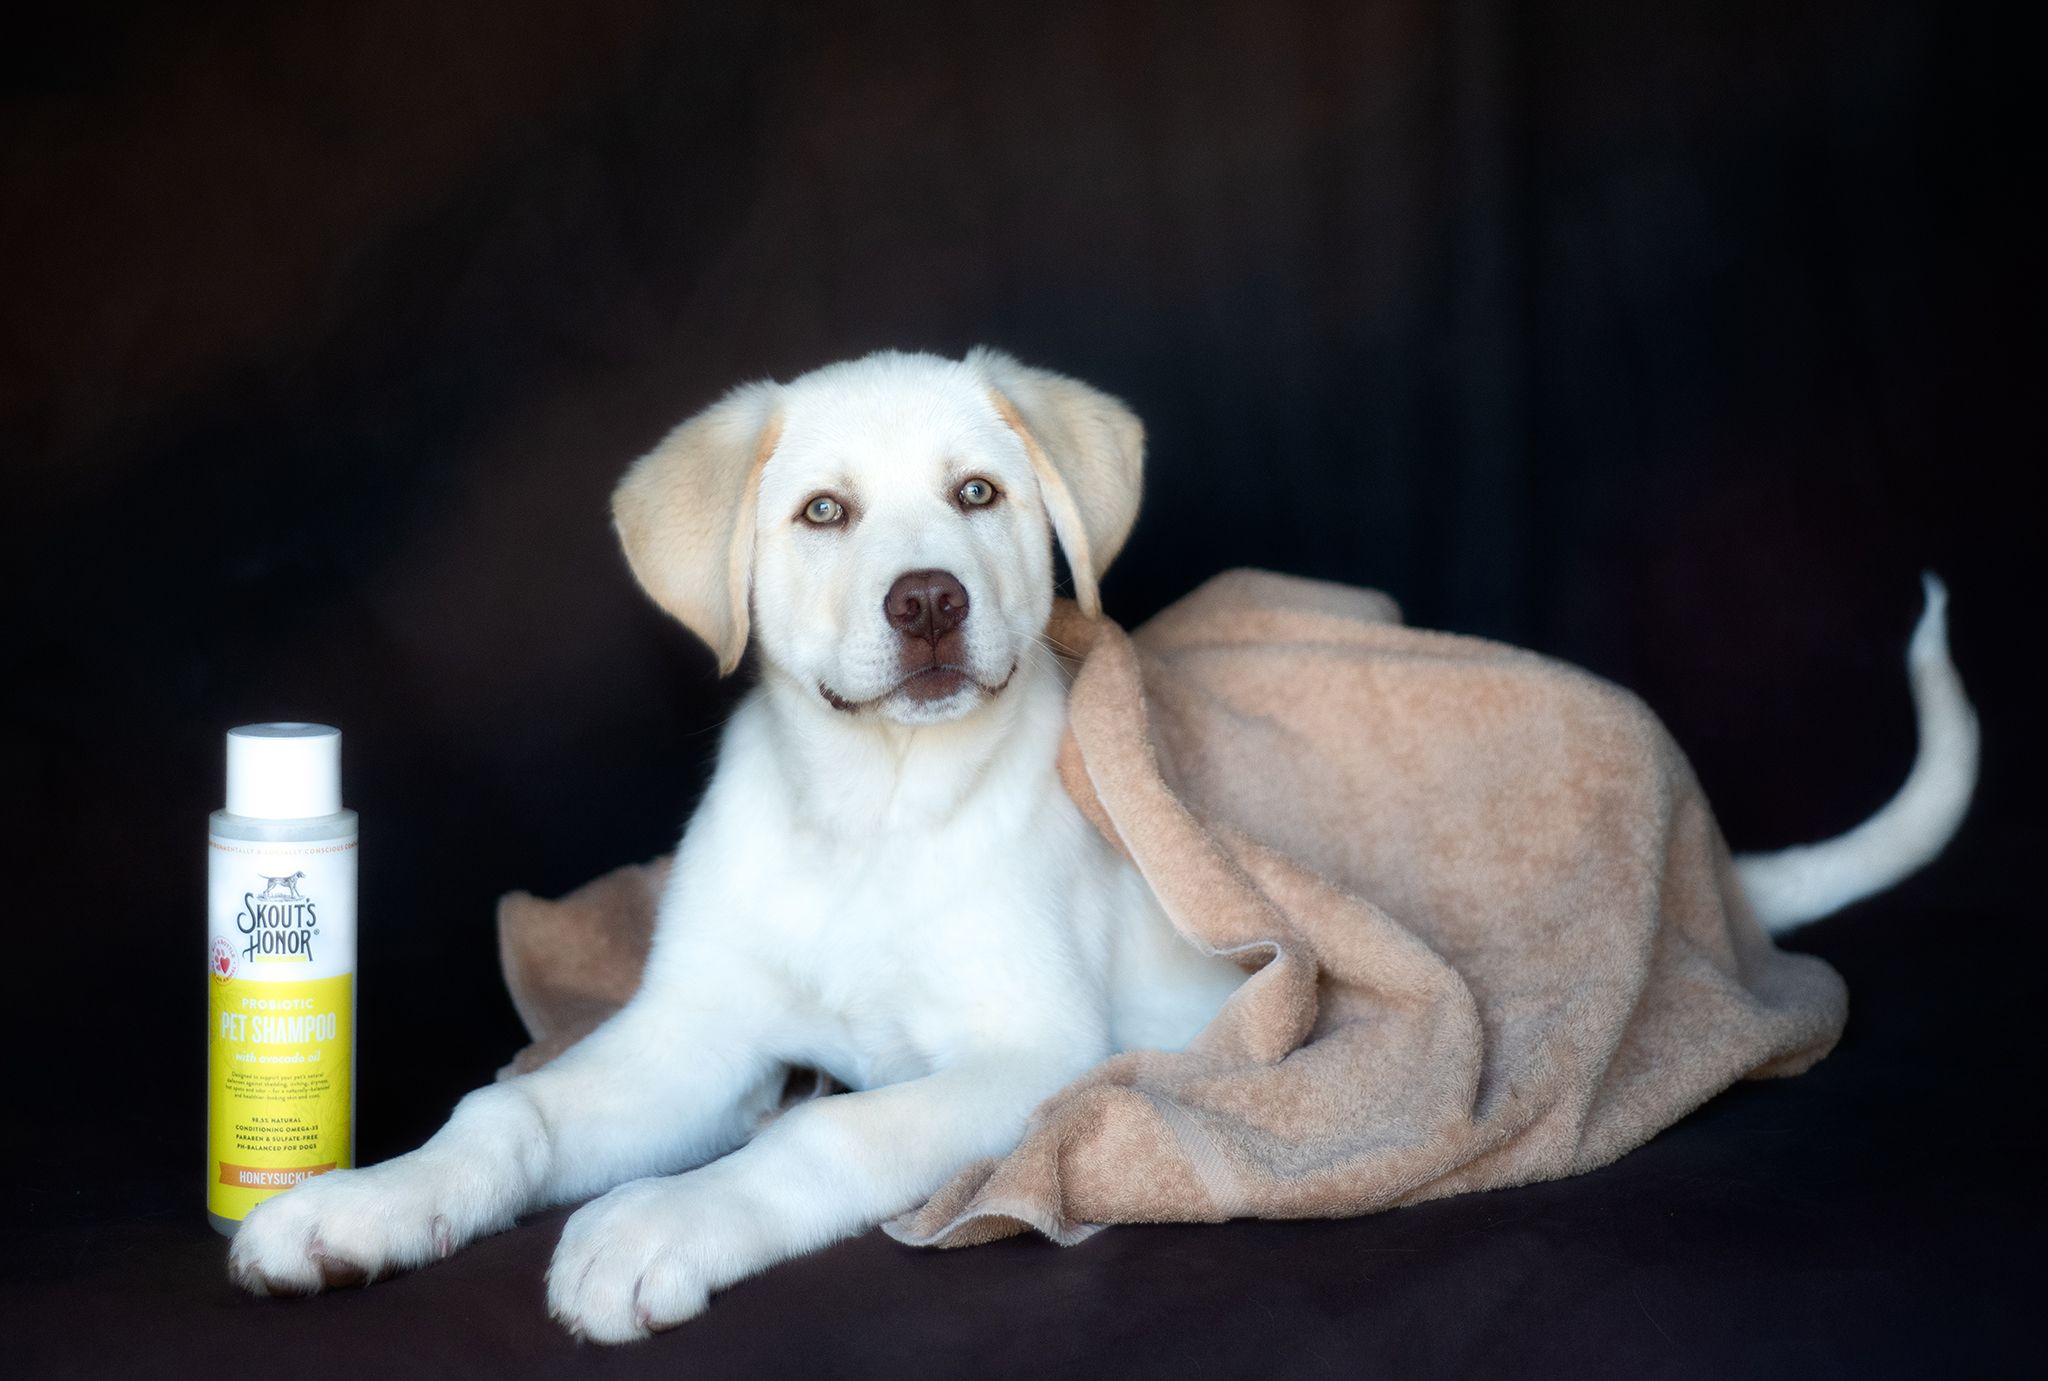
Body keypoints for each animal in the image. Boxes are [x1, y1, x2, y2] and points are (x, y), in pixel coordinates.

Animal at [228, 342, 1982, 1335]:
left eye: (980, 494)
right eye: (822, 515)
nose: (927, 603)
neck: (875, 815)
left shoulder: (1023, 1061)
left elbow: (813, 1139)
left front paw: (655, 1221)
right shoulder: (693, 1036)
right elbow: (511, 1112)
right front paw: (364, 1202)